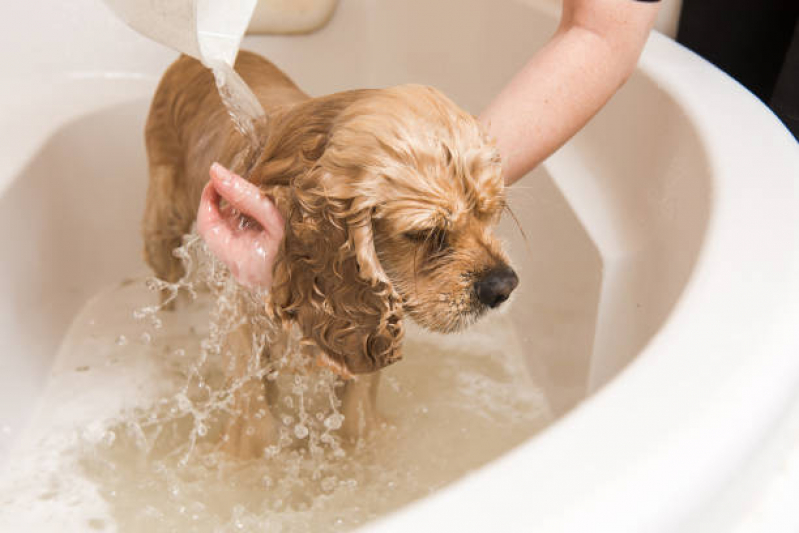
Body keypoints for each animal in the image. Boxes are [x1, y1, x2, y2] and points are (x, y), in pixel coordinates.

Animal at [143, 51, 520, 458]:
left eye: (490, 213)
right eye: (424, 233)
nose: (503, 286)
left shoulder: (367, 332)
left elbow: (356, 420)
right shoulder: (241, 324)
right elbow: (256, 429)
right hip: (162, 224)